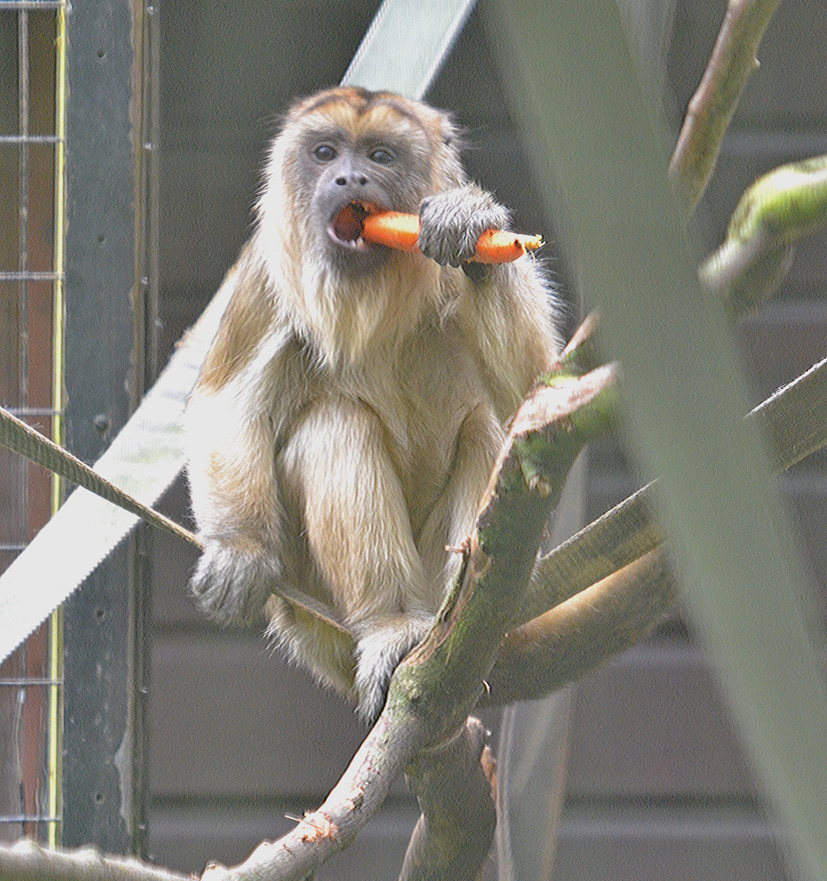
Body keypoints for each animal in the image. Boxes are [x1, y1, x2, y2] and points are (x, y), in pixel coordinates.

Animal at [185, 87, 562, 721]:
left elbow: (538, 396)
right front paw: (239, 549)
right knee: (335, 426)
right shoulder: (267, 269)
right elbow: (225, 400)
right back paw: (392, 623)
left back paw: (476, 615)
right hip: (313, 617)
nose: (350, 177)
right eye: (325, 152)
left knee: (488, 430)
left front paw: (473, 232)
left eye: (380, 155)